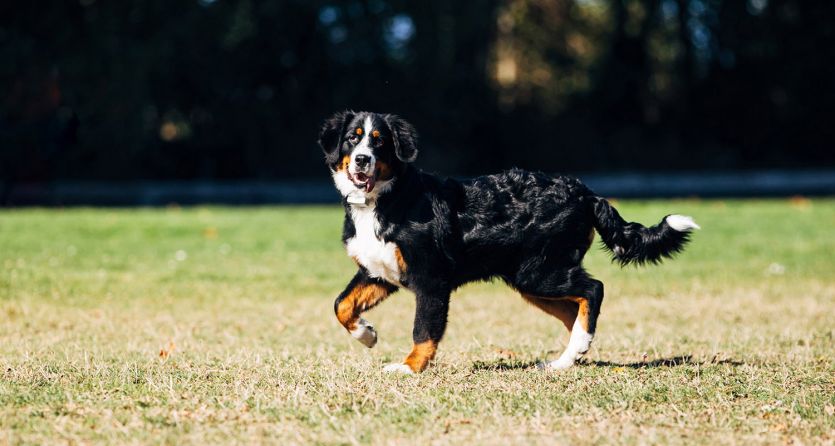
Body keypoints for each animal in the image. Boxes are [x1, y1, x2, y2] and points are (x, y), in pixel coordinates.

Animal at [318, 110, 700, 372]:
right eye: (353, 138)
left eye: (379, 140)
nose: (362, 159)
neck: (385, 200)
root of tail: (585, 193)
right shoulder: (378, 271)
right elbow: (341, 305)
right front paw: (366, 334)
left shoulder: (431, 280)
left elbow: (423, 330)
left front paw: (409, 367)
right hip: (533, 278)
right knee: (575, 309)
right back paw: (568, 357)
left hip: (539, 272)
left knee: (594, 290)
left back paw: (575, 348)